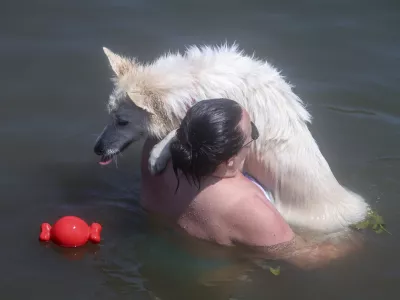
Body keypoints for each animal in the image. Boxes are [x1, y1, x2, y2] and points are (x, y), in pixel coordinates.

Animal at [94, 43, 368, 233]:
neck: (195, 84)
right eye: (110, 115)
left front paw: (157, 154)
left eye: (122, 122)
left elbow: (179, 130)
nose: (97, 149)